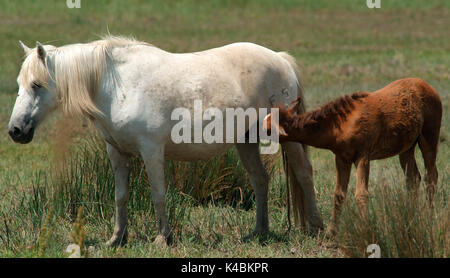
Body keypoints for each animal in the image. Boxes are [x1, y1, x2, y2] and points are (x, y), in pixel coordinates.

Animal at [7, 36, 324, 245]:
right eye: (20, 84)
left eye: (37, 84)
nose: (15, 131)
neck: (118, 86)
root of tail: (281, 59)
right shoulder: (116, 152)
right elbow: (120, 197)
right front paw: (117, 239)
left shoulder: (151, 151)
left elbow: (158, 194)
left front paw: (163, 238)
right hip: (245, 140)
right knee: (260, 179)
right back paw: (259, 232)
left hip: (287, 138)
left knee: (304, 174)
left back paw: (317, 228)